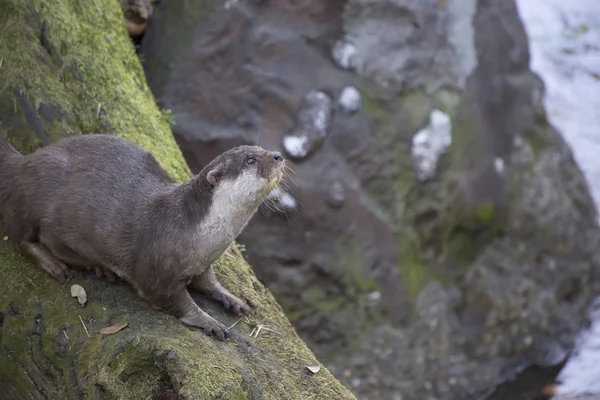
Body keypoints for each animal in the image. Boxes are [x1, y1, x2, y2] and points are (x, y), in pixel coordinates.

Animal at [0, 133, 286, 340]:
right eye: (250, 160)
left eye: (261, 150)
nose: (278, 156)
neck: (194, 232)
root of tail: (25, 161)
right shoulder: (157, 273)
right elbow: (176, 302)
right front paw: (209, 321)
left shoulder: (202, 263)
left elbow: (209, 282)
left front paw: (232, 298)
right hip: (35, 191)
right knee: (20, 237)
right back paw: (54, 266)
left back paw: (101, 269)